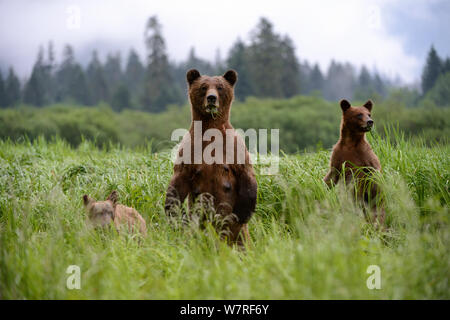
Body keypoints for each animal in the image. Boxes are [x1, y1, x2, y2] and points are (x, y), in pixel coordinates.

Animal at [164, 69, 256, 244]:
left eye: (220, 87)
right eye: (203, 87)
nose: (211, 98)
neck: (211, 132)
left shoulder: (234, 148)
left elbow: (246, 174)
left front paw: (242, 213)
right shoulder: (189, 151)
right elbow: (178, 182)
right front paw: (172, 214)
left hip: (239, 235)